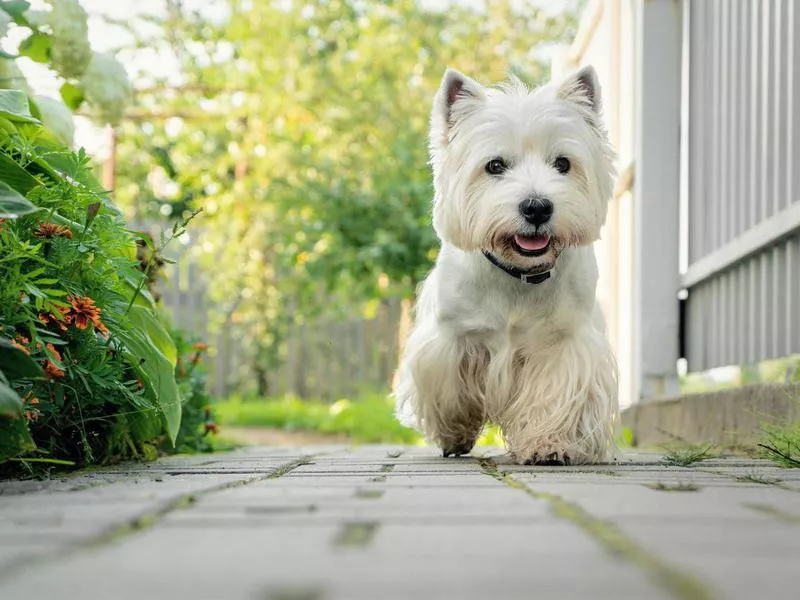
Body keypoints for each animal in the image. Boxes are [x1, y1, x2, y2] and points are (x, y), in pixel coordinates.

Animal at [394, 68, 620, 466]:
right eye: (495, 165)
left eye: (563, 163)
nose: (537, 207)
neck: (518, 273)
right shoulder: (451, 339)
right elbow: (451, 391)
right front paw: (455, 432)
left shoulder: (563, 340)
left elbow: (555, 393)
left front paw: (549, 444)